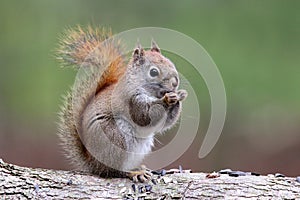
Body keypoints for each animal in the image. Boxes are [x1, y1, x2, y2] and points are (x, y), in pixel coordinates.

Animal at [56, 25, 186, 182]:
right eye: (153, 72)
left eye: (170, 63)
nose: (175, 82)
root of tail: (93, 164)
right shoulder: (132, 100)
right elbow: (144, 117)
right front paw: (167, 99)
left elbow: (165, 123)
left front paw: (179, 96)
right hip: (115, 138)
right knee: (113, 171)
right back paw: (134, 173)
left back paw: (139, 168)